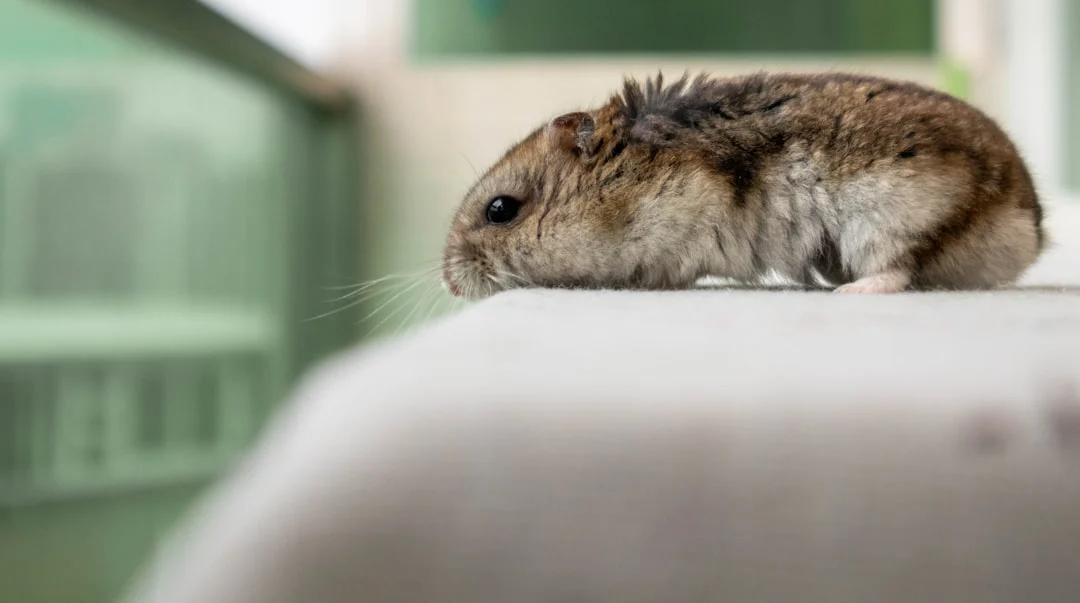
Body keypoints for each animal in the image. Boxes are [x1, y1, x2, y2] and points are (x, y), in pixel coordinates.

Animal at [441, 72, 1046, 298]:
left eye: (501, 209)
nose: (450, 284)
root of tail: (1030, 224)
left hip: (893, 217)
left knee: (898, 272)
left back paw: (848, 293)